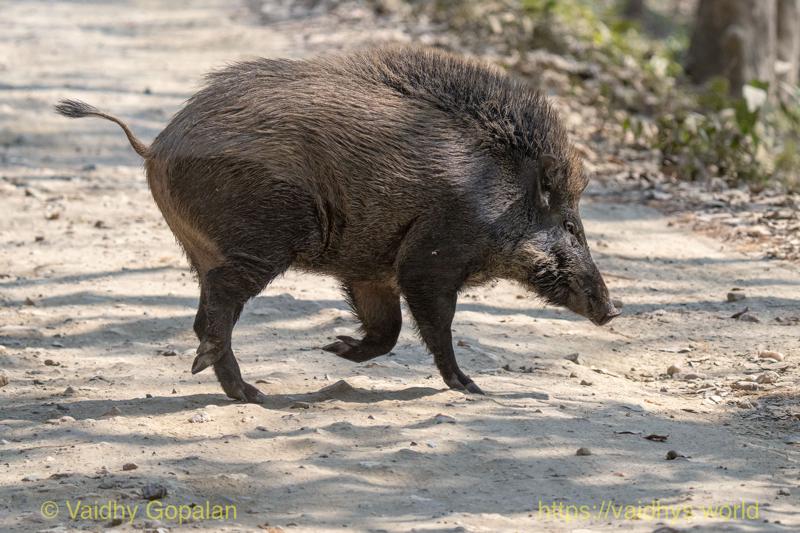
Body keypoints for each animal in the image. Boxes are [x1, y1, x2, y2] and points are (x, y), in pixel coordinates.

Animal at [56, 46, 619, 403]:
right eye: (571, 227)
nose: (613, 310)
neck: (495, 199)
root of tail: (156, 146)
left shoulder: (372, 270)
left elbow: (387, 330)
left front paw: (335, 349)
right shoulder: (429, 260)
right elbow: (434, 327)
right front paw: (472, 388)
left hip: (206, 246)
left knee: (210, 309)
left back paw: (250, 393)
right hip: (263, 237)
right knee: (218, 307)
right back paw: (250, 390)